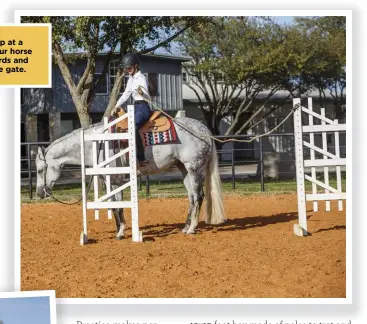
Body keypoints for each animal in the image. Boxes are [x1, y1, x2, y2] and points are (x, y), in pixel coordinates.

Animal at [36, 117, 227, 239]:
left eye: (39, 170)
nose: (39, 193)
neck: (98, 144)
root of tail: (203, 130)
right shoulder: (109, 182)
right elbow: (114, 206)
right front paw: (119, 230)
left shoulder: (115, 181)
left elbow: (118, 206)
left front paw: (120, 232)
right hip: (184, 169)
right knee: (192, 197)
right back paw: (186, 227)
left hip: (194, 168)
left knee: (198, 196)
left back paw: (192, 229)